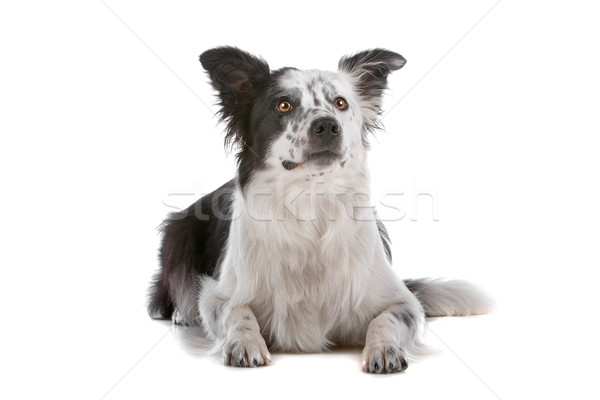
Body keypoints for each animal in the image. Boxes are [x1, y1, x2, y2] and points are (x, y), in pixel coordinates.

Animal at [146, 47, 492, 372]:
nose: (327, 125)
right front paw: (245, 343)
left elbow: (387, 319)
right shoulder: (218, 295)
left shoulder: (400, 301)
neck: (310, 201)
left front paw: (385, 349)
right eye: (283, 105)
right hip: (178, 232)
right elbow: (238, 311)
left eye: (340, 104)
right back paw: (181, 312)